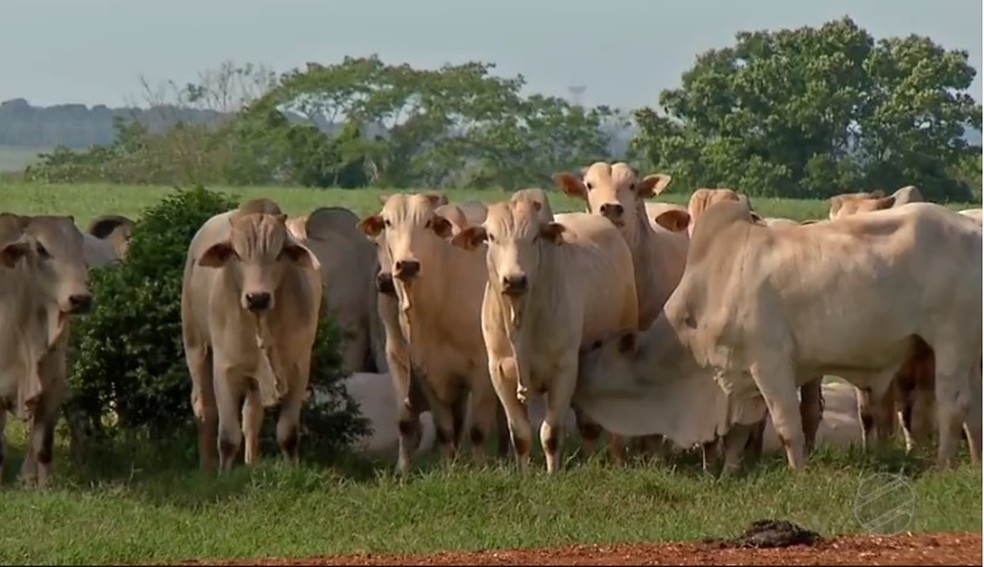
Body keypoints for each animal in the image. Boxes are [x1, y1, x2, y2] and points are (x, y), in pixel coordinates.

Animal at [0, 215, 92, 486]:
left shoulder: (54, 387)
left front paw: (41, 484)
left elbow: (43, 443)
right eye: (40, 249)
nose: (81, 298)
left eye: (80, 245)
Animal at [181, 206, 322, 472]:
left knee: (251, 416)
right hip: (195, 347)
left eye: (279, 254)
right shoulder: (224, 370)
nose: (258, 298)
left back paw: (251, 462)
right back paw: (207, 466)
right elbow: (227, 437)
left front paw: (292, 469)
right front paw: (223, 474)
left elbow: (287, 433)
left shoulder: (299, 369)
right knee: (205, 409)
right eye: (236, 254)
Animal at [448, 195, 640, 474]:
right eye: (491, 237)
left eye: (534, 237)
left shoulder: (564, 370)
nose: (515, 280)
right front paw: (525, 474)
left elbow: (550, 433)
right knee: (588, 426)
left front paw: (552, 474)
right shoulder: (499, 372)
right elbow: (520, 435)